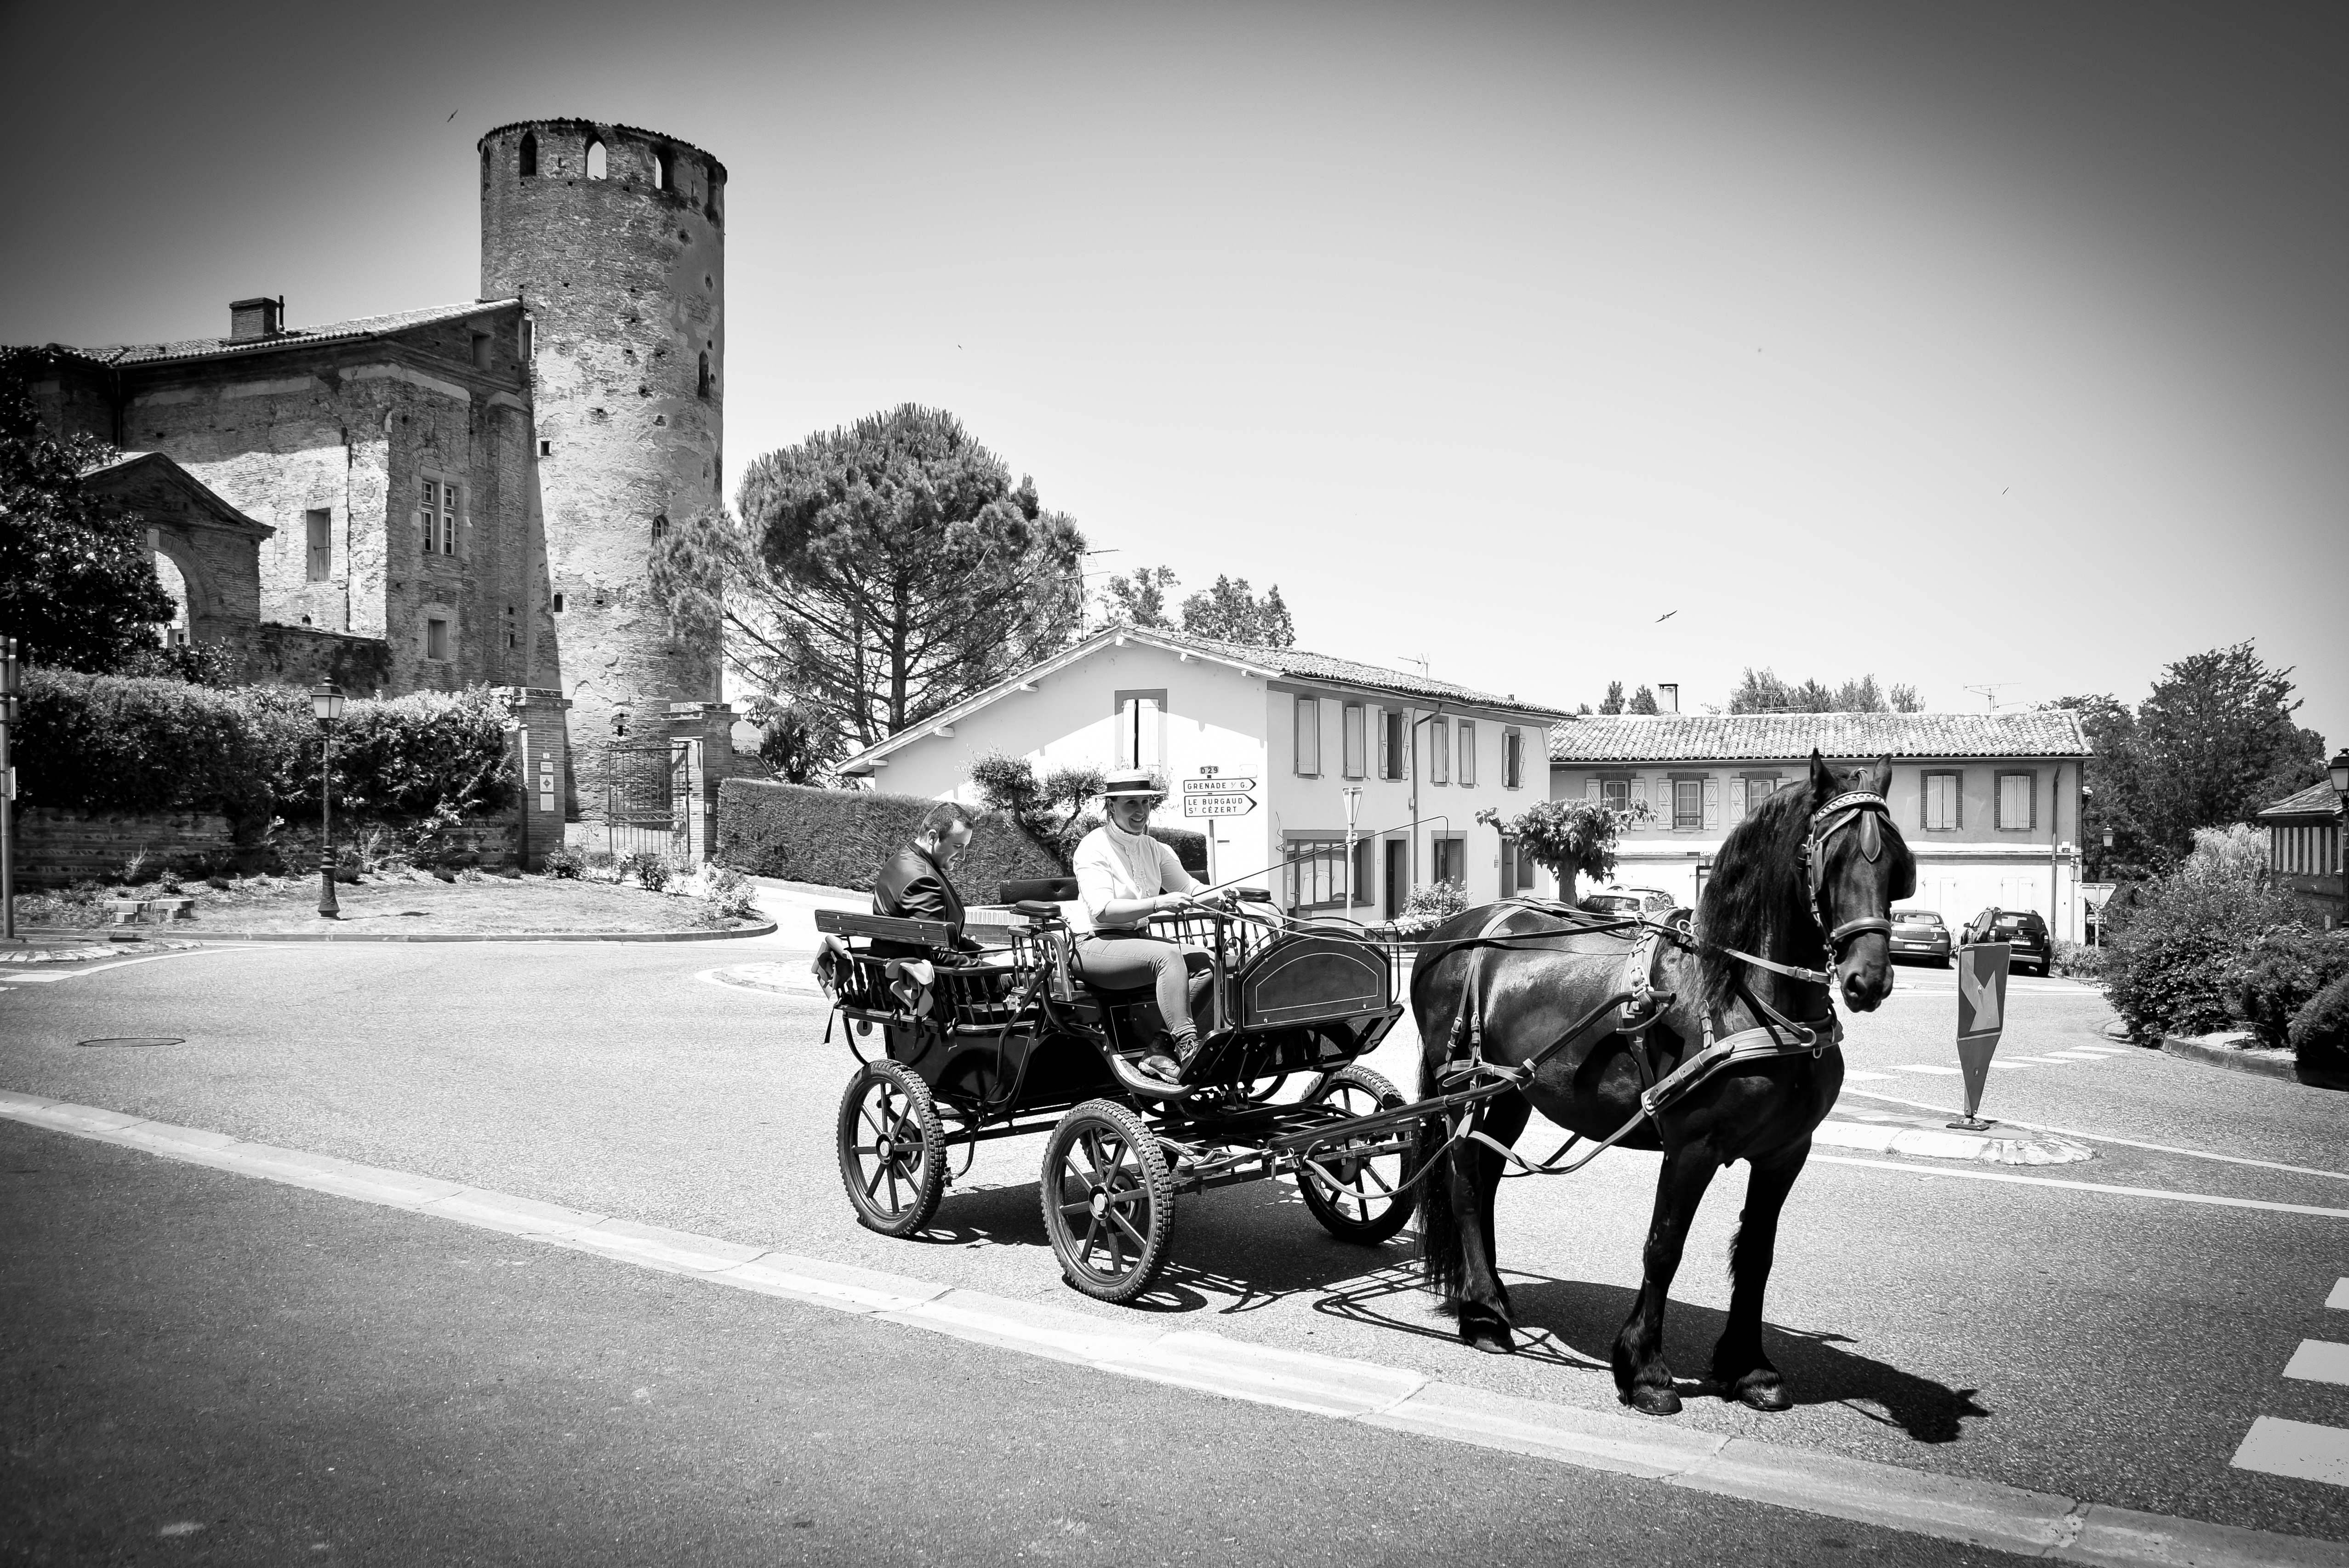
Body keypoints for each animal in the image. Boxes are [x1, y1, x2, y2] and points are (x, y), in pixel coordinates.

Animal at [1409, 751, 1907, 1418]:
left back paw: (1488, 1297)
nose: (1867, 980)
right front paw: (1644, 1368)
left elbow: (1757, 1254)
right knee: (1464, 1179)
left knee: (1485, 1177)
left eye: (1896, 865)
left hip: (1510, 1091)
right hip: (1461, 1085)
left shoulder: (1785, 1152)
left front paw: (1749, 1368)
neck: (1742, 995)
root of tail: (1453, 928)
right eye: (1829, 858)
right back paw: (1484, 1314)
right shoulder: (1692, 1146)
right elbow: (1663, 1247)